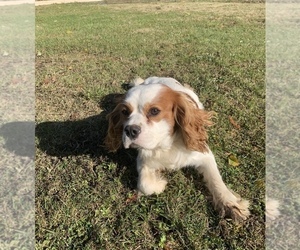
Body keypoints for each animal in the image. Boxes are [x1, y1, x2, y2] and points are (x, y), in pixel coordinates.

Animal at [105, 76, 251, 221]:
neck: (167, 145)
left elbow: (216, 180)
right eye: (124, 112)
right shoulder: (144, 161)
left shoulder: (204, 154)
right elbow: (145, 185)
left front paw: (231, 204)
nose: (130, 130)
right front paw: (160, 183)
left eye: (154, 111)